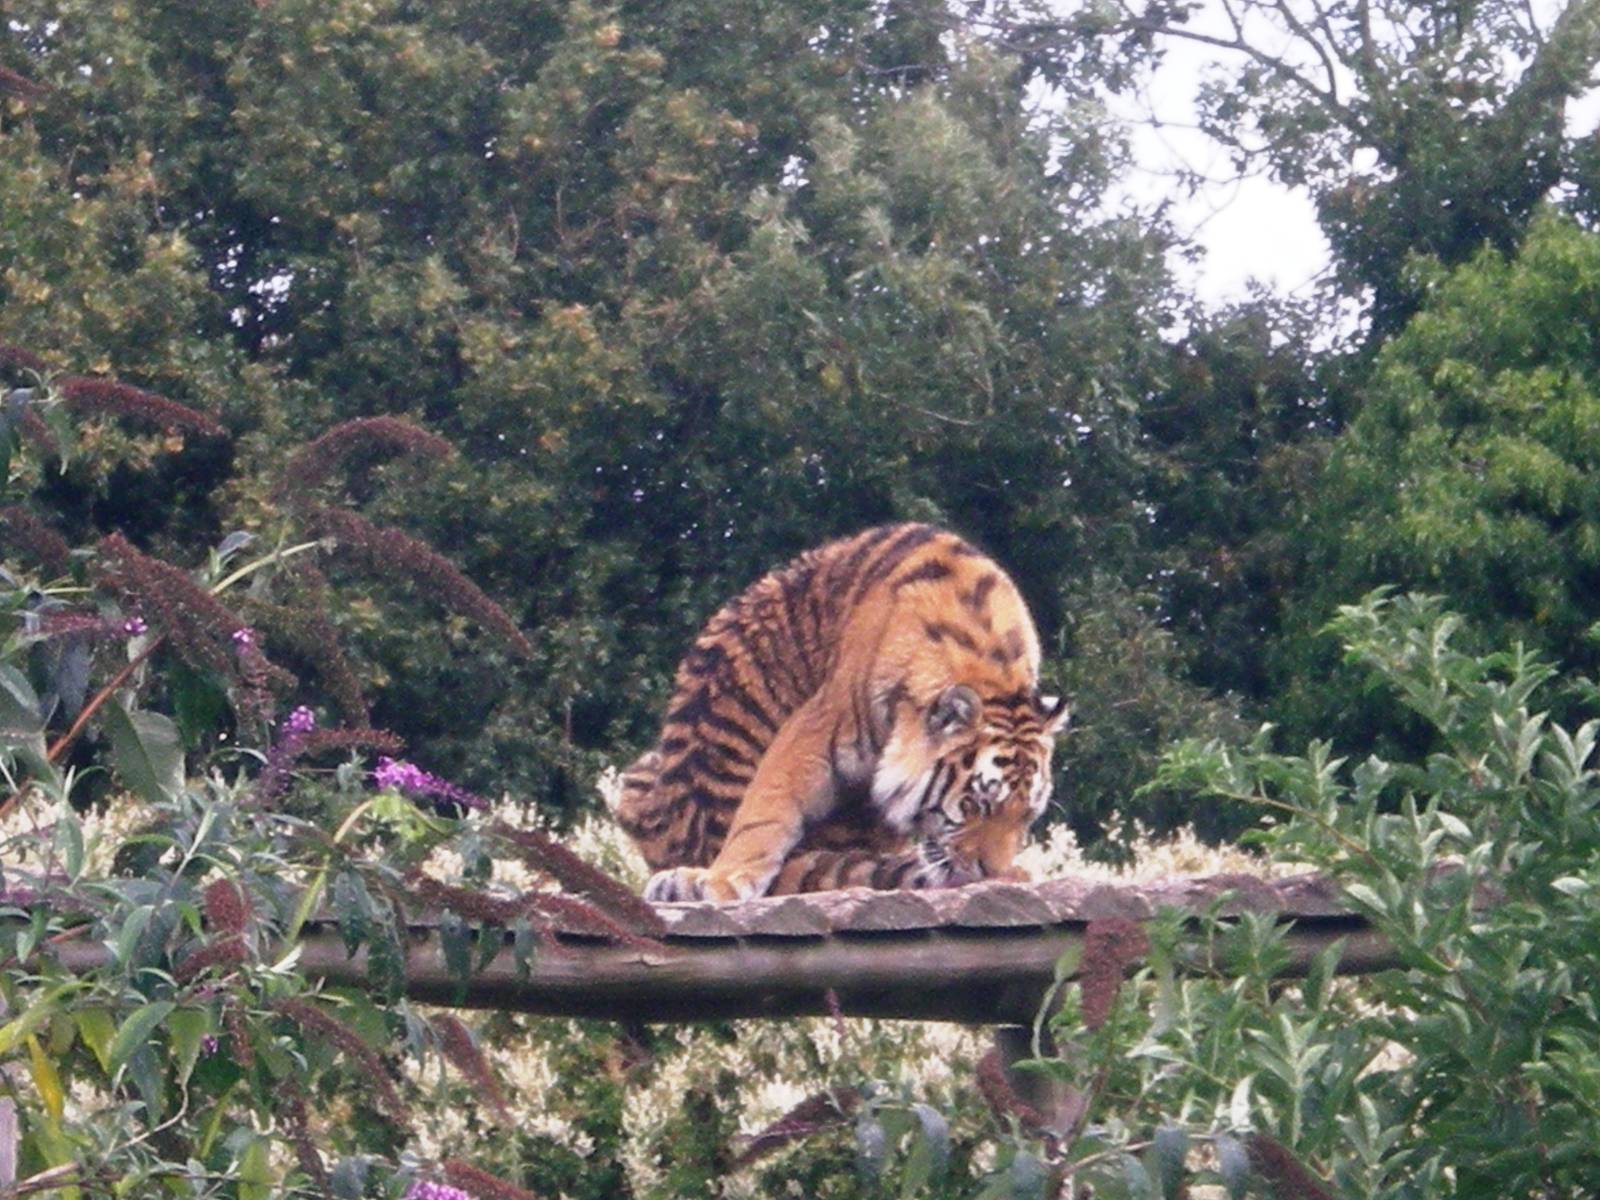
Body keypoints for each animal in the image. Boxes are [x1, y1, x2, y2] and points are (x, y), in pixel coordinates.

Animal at [614, 523, 1069, 903]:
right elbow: (762, 815)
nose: (993, 873)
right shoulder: (815, 728)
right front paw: (718, 881)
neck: (992, 671)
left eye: (1027, 814)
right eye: (976, 804)